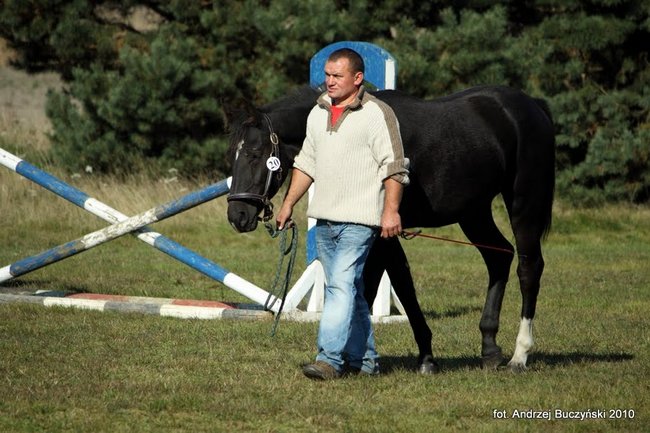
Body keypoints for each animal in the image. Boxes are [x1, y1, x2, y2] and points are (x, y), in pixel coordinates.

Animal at [227, 84, 552, 372]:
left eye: (255, 154)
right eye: (234, 154)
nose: (237, 215)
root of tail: (532, 106)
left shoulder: (384, 233)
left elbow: (387, 286)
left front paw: (414, 358)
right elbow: (380, 285)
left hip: (523, 202)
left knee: (529, 267)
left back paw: (519, 356)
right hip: (474, 212)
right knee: (499, 257)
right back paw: (490, 349)